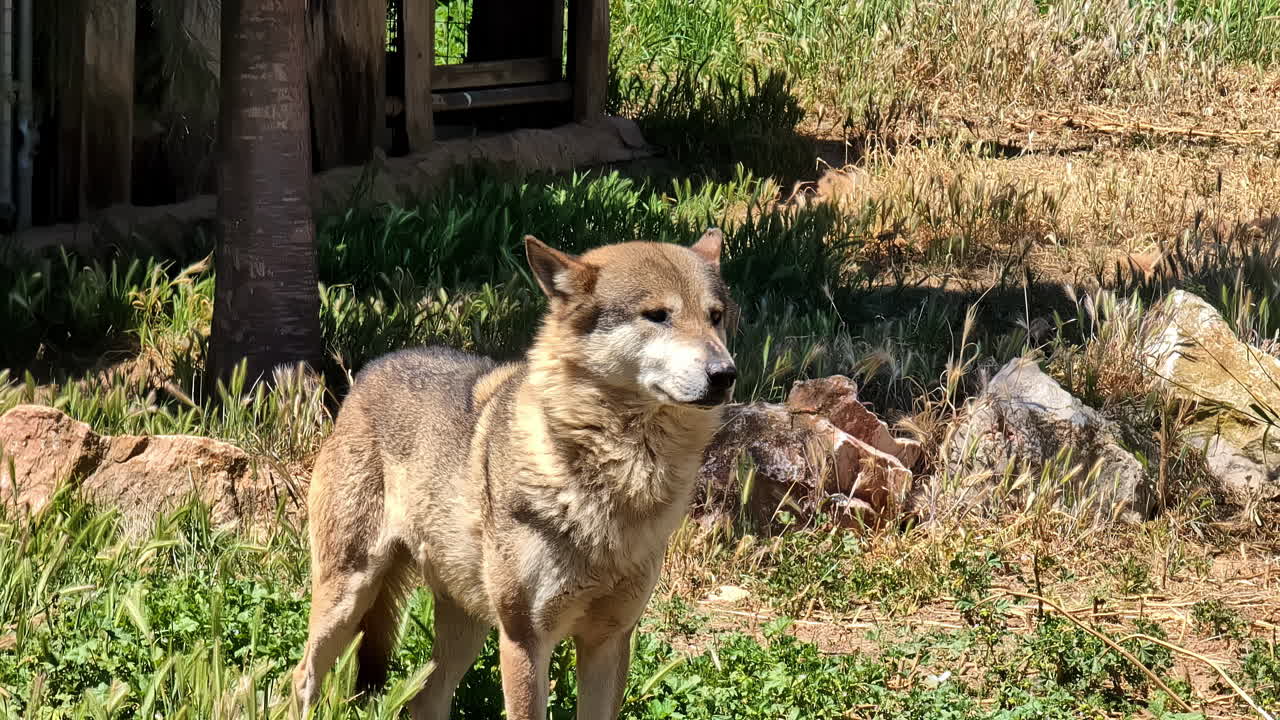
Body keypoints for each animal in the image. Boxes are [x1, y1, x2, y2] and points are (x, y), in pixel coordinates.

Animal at [293, 229, 737, 720]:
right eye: (658, 316)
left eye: (715, 317)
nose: (725, 374)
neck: (616, 473)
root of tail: (368, 372)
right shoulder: (525, 640)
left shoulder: (609, 640)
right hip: (350, 593)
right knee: (303, 675)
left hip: (466, 625)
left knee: (425, 698)